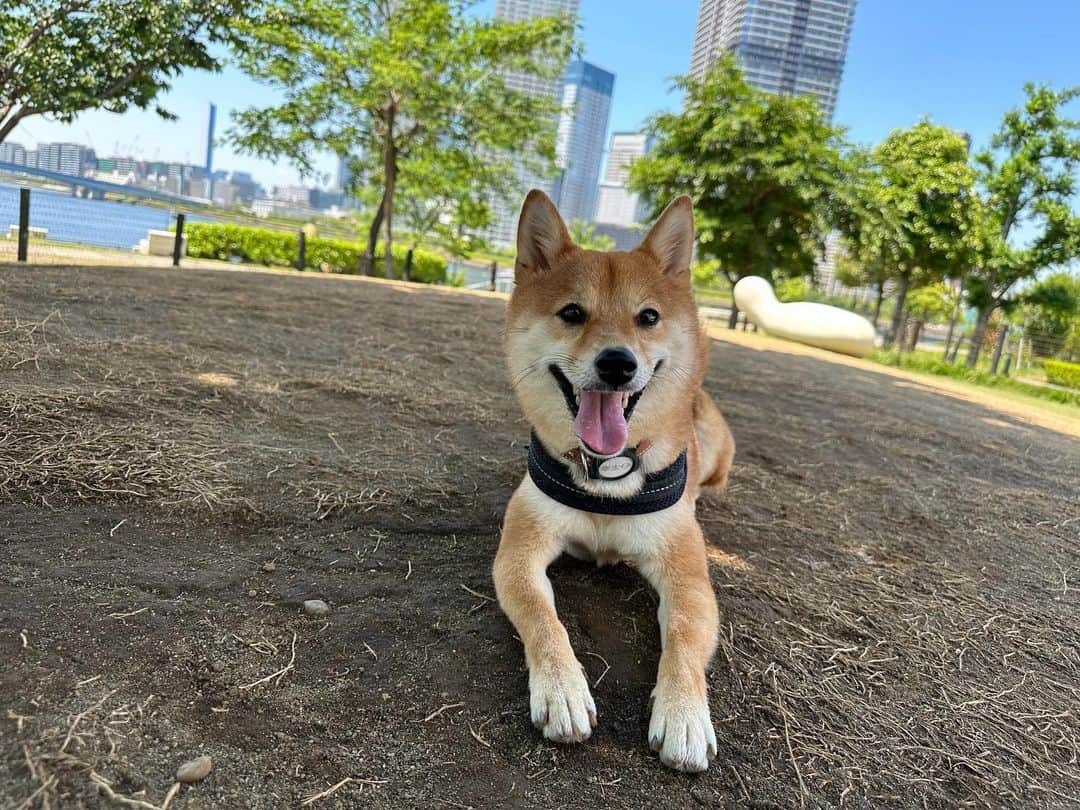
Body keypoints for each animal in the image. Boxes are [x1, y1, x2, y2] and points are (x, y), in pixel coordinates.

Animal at [494, 190, 734, 773]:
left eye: (647, 317)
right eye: (572, 313)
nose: (618, 363)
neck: (607, 474)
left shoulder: (686, 574)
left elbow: (685, 633)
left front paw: (684, 715)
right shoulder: (519, 552)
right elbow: (542, 616)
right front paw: (561, 689)